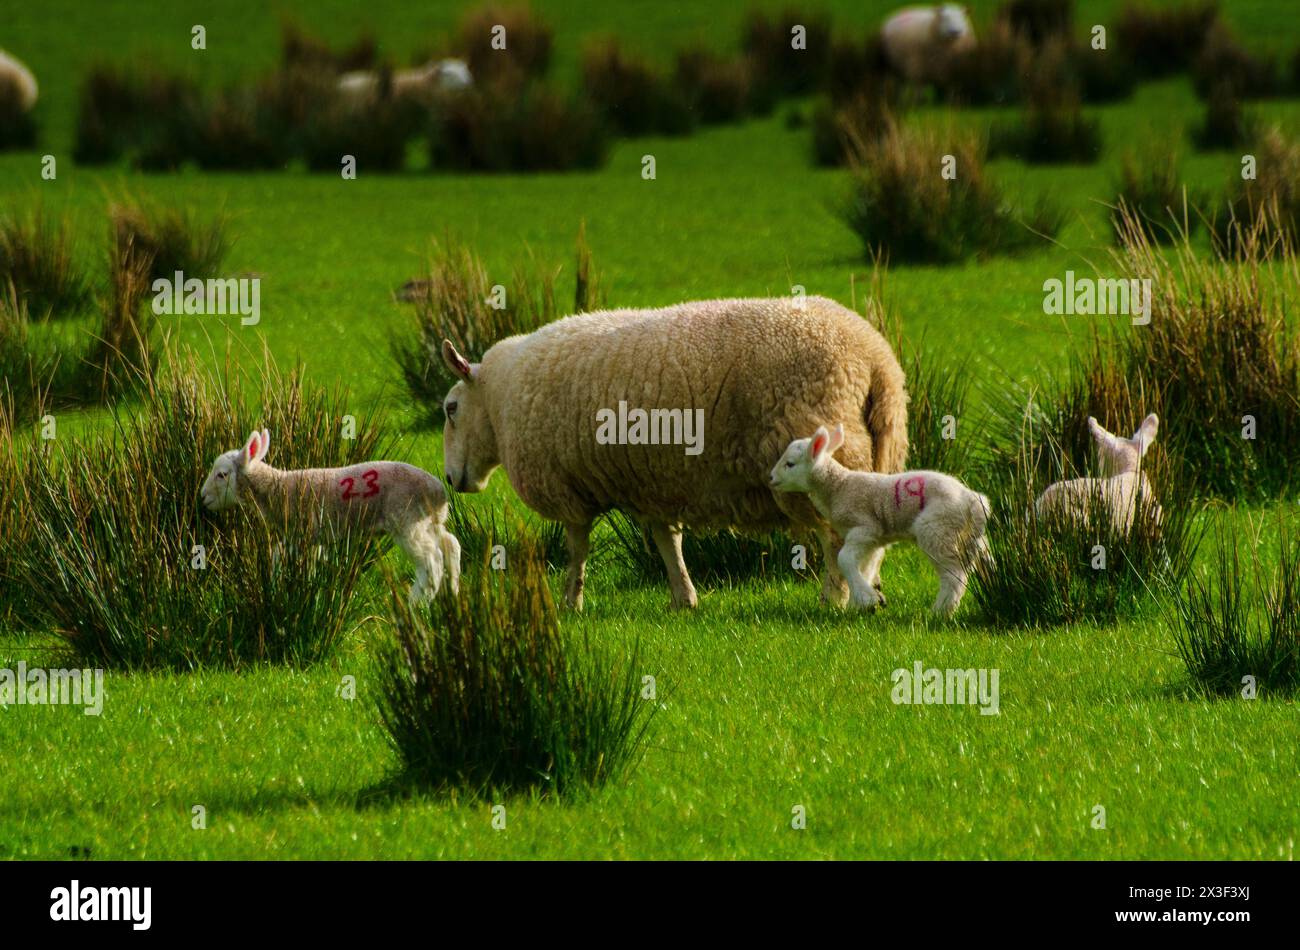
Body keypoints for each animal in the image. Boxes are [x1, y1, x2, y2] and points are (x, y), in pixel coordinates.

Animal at [201, 429, 460, 601]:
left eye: (222, 474)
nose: (202, 497)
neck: (276, 488)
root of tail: (439, 492)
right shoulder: (311, 539)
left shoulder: (303, 531)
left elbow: (280, 556)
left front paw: (281, 589)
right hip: (429, 522)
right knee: (451, 545)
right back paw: (452, 592)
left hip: (406, 521)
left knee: (431, 560)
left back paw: (417, 603)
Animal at [438, 295, 910, 611]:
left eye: (450, 408)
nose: (449, 478)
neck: (499, 400)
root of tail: (876, 360)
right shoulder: (653, 485)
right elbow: (668, 543)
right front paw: (684, 598)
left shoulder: (568, 490)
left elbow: (576, 549)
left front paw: (571, 602)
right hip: (877, 455)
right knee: (866, 544)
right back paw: (870, 591)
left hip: (819, 462)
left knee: (834, 540)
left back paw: (835, 598)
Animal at [770, 423, 990, 617]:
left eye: (790, 464)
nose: (771, 478)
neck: (838, 487)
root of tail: (971, 498)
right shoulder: (873, 541)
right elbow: (865, 567)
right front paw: (861, 604)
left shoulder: (864, 527)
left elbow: (844, 559)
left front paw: (867, 599)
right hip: (964, 535)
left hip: (937, 528)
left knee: (954, 575)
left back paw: (939, 612)